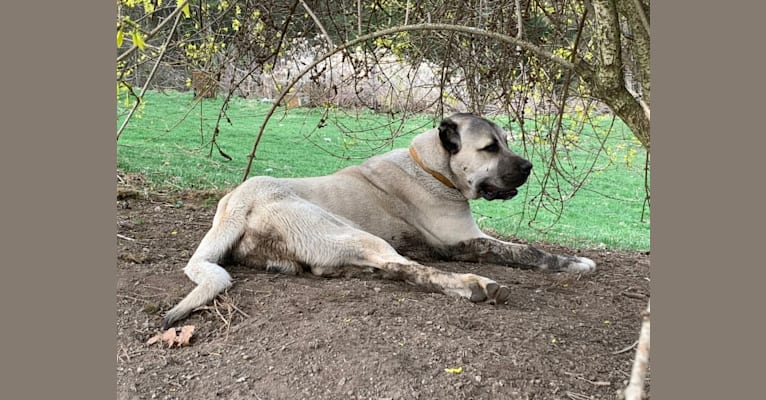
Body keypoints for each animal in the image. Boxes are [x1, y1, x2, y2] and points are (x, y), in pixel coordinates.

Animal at [162, 111, 596, 328]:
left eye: (506, 142)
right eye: (490, 148)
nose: (528, 167)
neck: (434, 167)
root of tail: (239, 200)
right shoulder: (461, 241)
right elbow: (528, 251)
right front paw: (575, 262)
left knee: (392, 269)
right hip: (357, 234)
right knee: (412, 268)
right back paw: (473, 286)